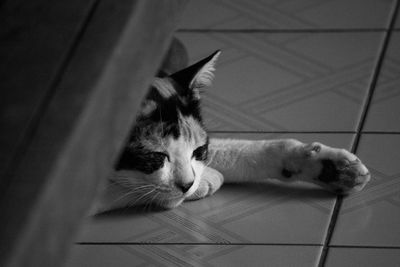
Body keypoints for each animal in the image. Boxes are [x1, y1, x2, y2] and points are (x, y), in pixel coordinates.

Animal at [92, 45, 370, 214]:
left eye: (198, 151)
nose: (188, 184)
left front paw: (331, 167)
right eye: (156, 157)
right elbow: (114, 190)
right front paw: (206, 180)